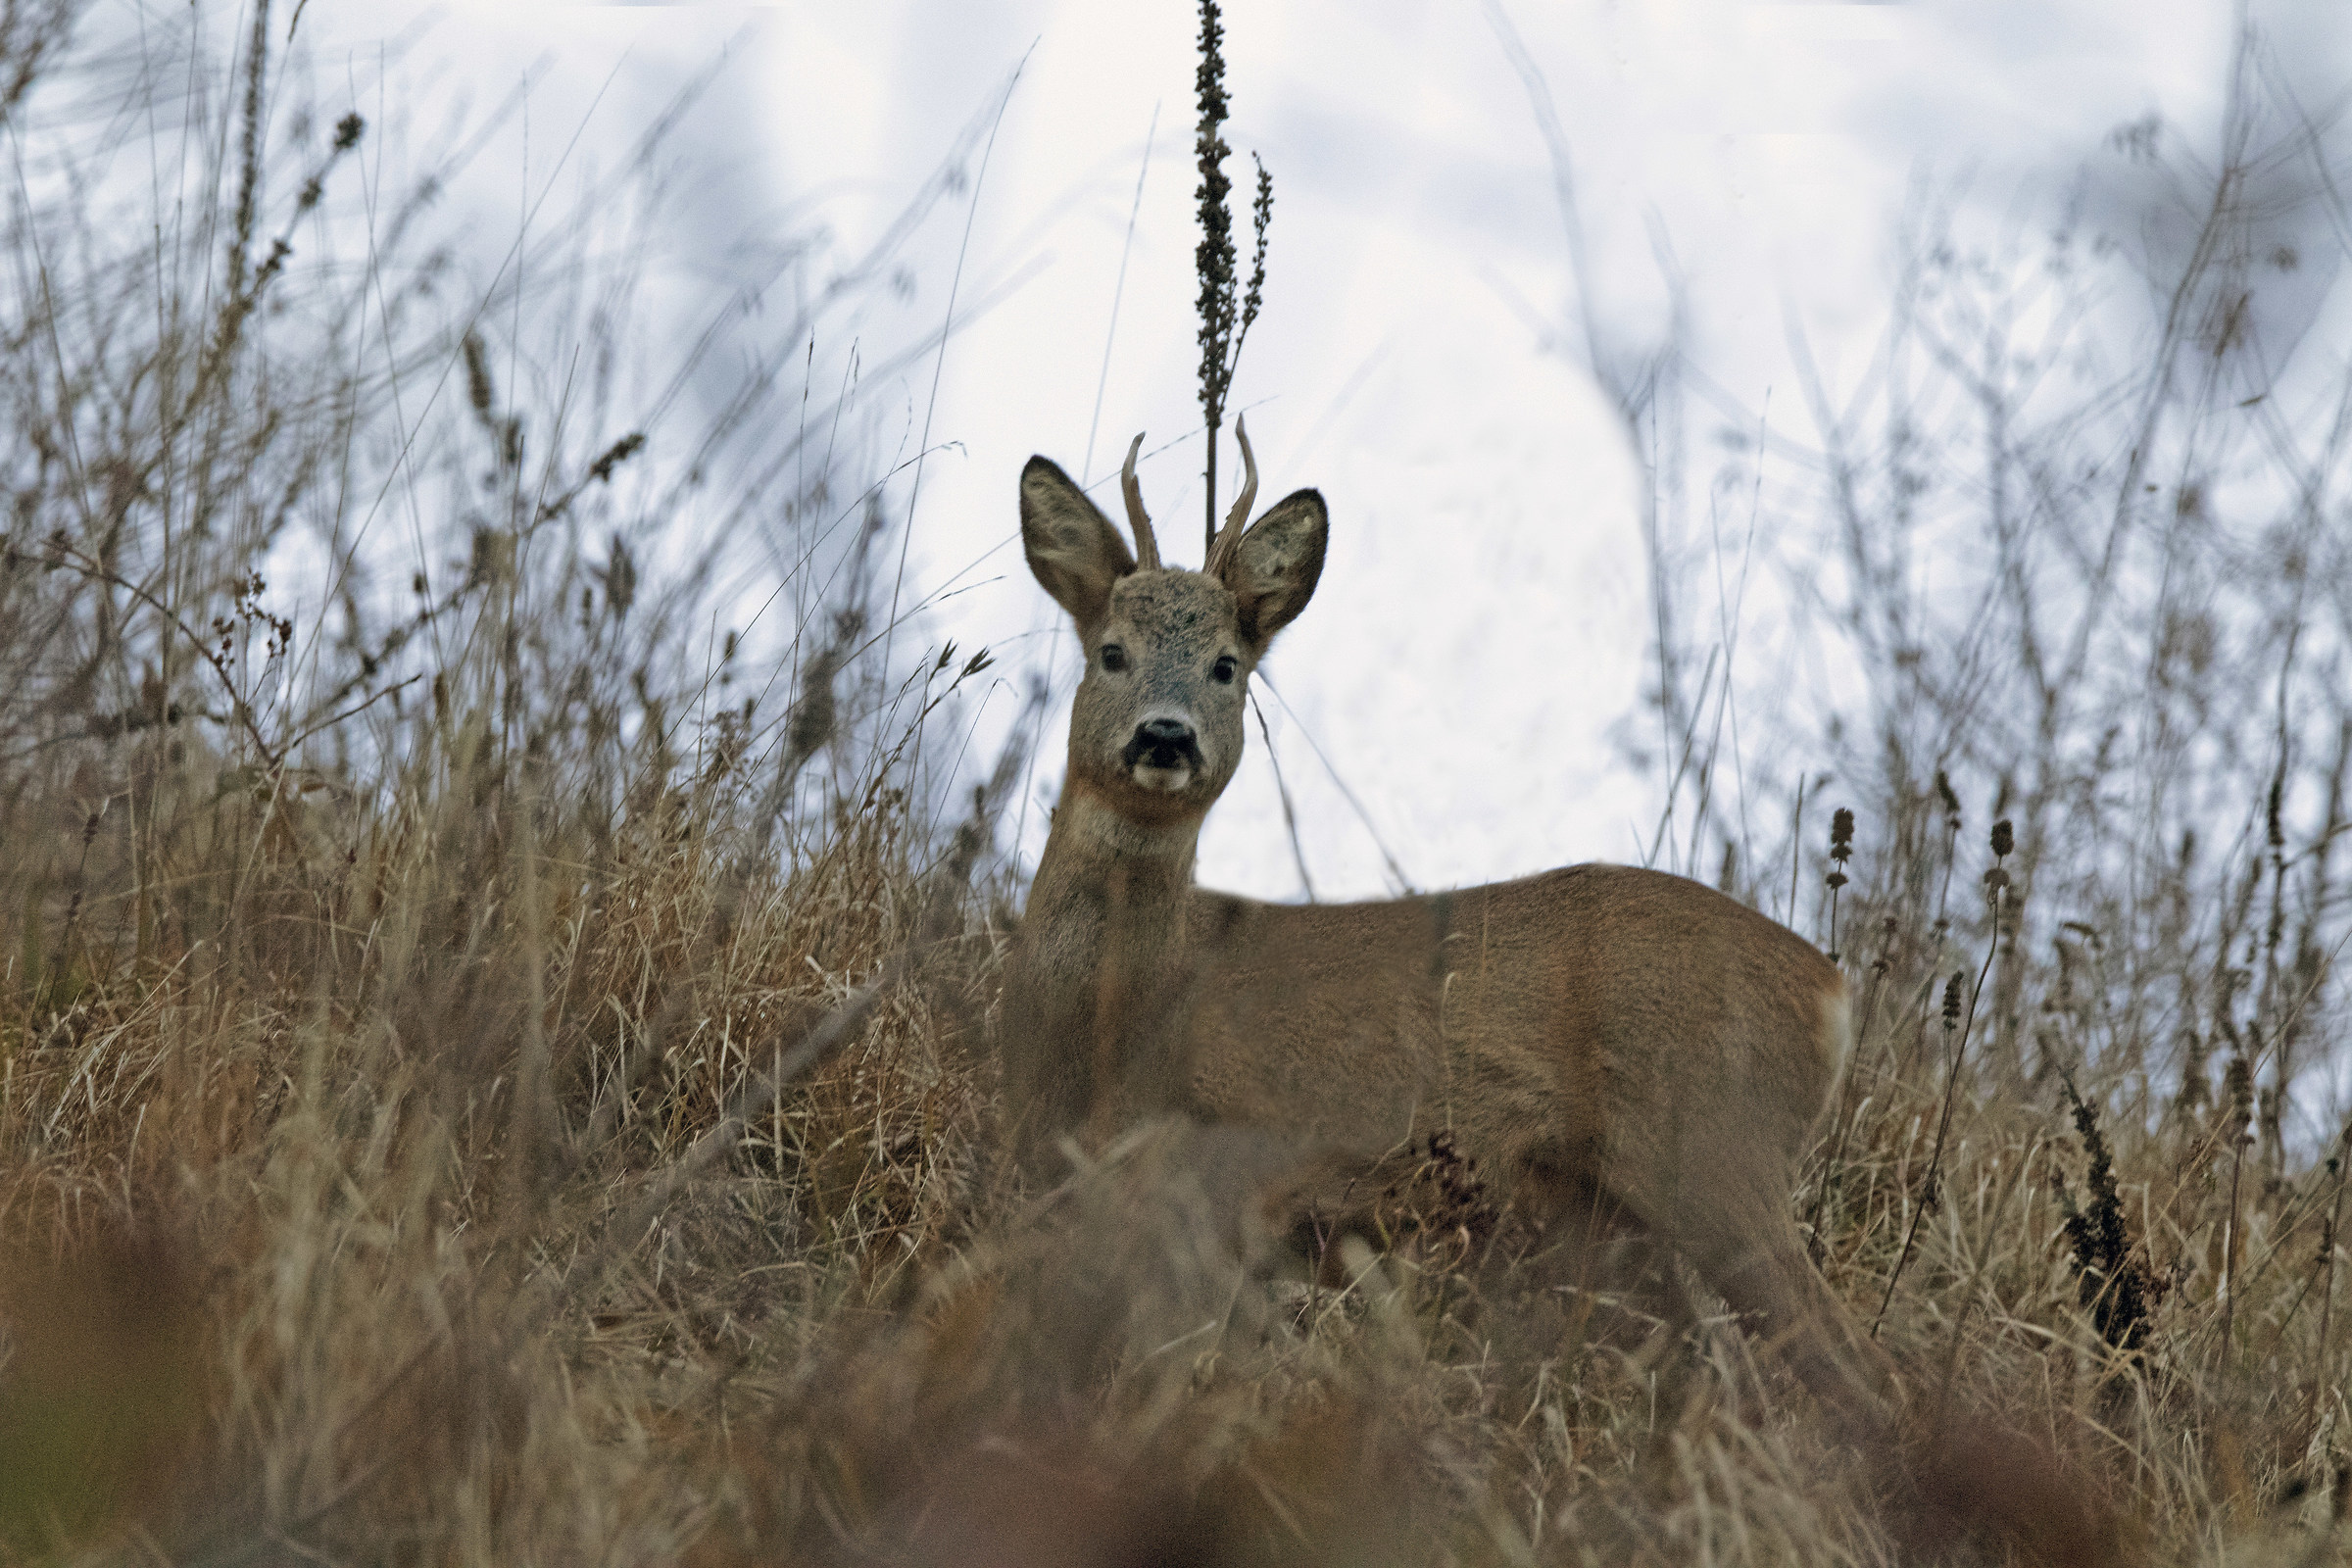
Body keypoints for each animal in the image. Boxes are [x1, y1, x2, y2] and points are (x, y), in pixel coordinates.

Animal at [999, 423, 2121, 1567]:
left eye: (1228, 666)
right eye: (1110, 652)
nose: (1165, 736)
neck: (1132, 1018)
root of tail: (1832, 991)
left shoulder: (1228, 1176)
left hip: (1717, 1152)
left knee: (1865, 1378)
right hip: (1627, 1212)